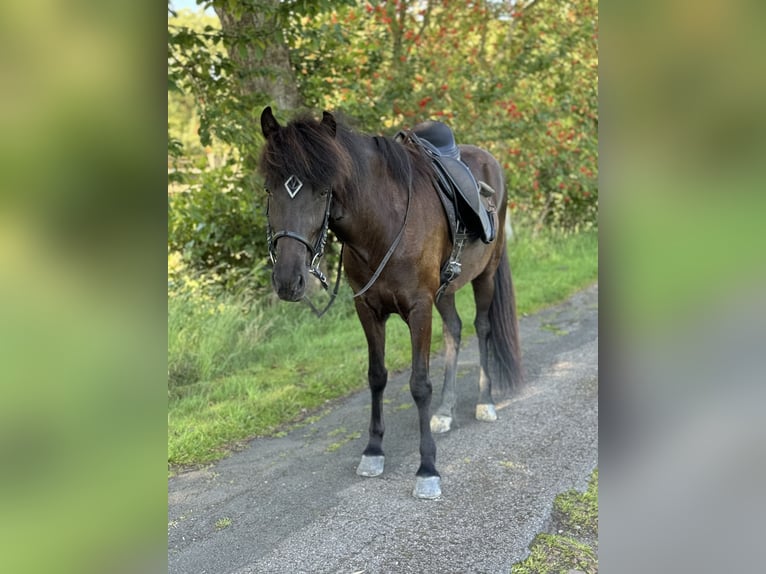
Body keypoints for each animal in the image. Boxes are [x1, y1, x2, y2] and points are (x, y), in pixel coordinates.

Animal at [258, 107, 520, 500]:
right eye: (269, 188)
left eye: (324, 191)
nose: (289, 280)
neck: (382, 226)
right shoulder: (368, 310)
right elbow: (376, 376)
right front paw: (373, 451)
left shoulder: (419, 308)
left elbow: (419, 384)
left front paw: (427, 469)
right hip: (446, 290)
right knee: (454, 330)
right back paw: (445, 412)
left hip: (485, 275)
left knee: (482, 328)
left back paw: (484, 402)